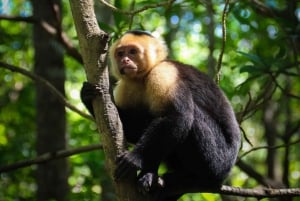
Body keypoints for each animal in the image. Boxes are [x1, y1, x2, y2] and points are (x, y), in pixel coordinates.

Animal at [80, 30, 241, 201]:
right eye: (120, 53)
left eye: (132, 51)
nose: (124, 60)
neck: (144, 77)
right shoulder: (125, 87)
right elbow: (130, 129)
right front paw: (87, 97)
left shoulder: (164, 73)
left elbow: (176, 116)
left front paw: (135, 158)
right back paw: (152, 176)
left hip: (218, 160)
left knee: (191, 118)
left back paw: (190, 178)